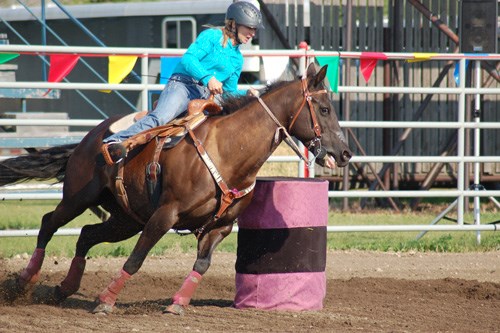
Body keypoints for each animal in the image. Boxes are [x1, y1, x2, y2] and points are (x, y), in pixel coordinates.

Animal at [0, 63, 352, 316]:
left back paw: (64, 289)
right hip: (78, 196)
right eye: (324, 109)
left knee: (86, 235)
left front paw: (178, 304)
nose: (345, 153)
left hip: (126, 219)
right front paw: (105, 301)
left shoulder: (221, 227)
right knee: (48, 223)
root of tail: (90, 138)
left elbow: (202, 265)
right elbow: (136, 259)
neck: (229, 150)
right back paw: (24, 281)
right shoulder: (165, 215)